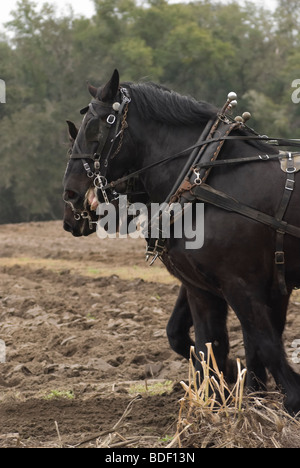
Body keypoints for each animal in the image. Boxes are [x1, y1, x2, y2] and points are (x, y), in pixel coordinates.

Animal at [63, 69, 300, 414]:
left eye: (96, 127)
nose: (70, 195)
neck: (203, 177)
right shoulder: (203, 286)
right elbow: (203, 342)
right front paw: (228, 394)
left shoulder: (243, 284)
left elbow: (263, 342)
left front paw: (275, 398)